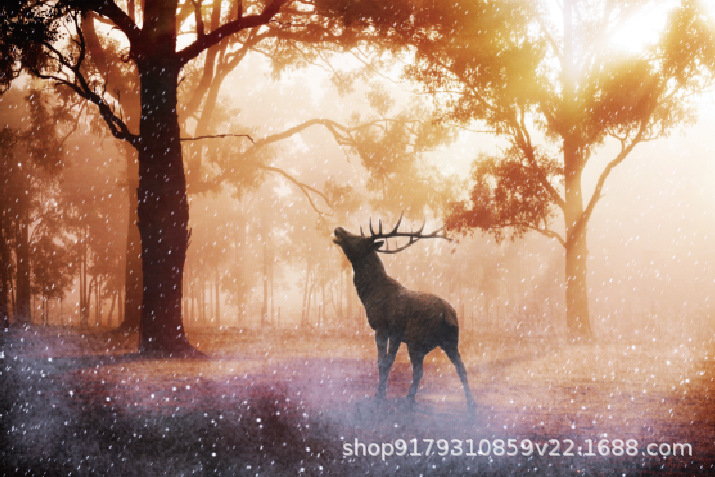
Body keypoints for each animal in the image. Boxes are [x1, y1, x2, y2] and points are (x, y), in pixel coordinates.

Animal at [333, 213, 474, 413]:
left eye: (358, 239)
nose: (337, 229)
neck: (370, 294)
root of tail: (449, 314)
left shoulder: (386, 327)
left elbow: (383, 362)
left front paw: (379, 395)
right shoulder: (395, 334)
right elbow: (387, 361)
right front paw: (381, 393)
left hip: (417, 339)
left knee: (419, 370)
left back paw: (409, 399)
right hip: (451, 340)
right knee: (460, 367)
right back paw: (470, 404)